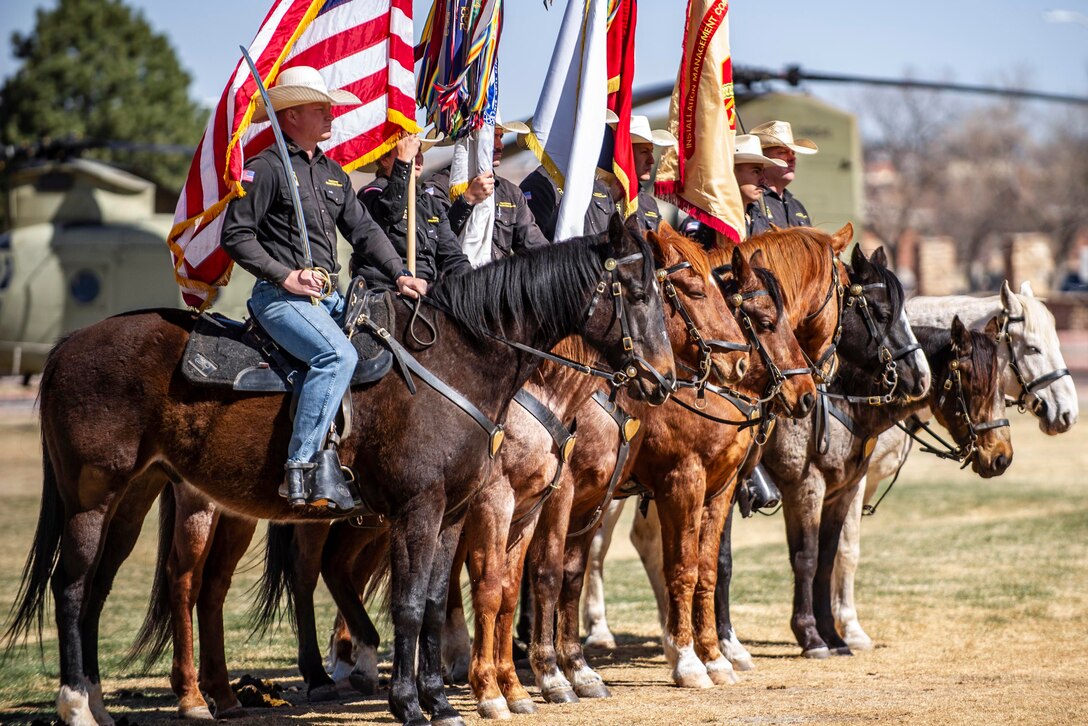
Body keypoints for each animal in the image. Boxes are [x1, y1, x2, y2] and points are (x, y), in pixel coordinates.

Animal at [4, 217, 674, 726]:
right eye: (639, 294)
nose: (664, 381)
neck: (454, 364)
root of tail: (66, 347)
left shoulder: (452, 515)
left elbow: (435, 602)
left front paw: (439, 702)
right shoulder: (419, 511)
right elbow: (408, 605)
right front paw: (409, 705)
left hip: (135, 495)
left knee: (100, 587)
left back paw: (100, 700)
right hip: (95, 496)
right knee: (74, 586)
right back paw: (80, 705)